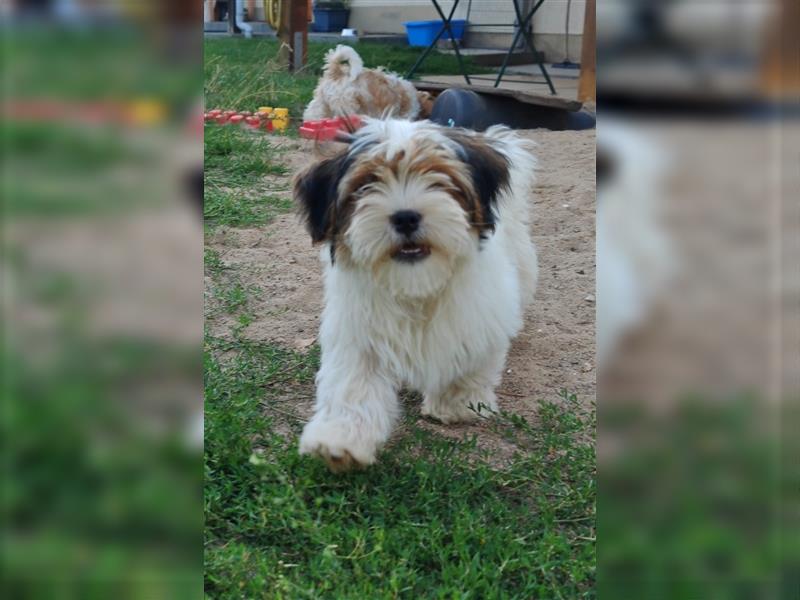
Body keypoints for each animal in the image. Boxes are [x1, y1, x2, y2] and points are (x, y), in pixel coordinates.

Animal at [292, 118, 536, 474]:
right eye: (366, 185)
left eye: (439, 179)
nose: (405, 217)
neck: (415, 281)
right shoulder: (357, 327)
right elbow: (352, 380)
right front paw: (340, 438)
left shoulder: (480, 311)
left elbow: (472, 356)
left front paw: (457, 403)